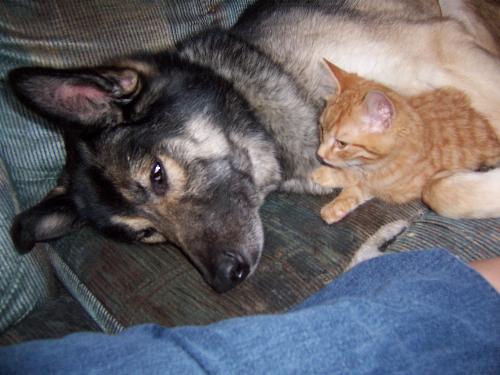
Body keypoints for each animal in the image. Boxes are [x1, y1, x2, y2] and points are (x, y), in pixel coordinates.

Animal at [312, 59, 500, 223]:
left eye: (341, 144)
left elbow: (362, 184)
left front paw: (337, 201)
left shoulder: (402, 186)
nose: (319, 154)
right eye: (321, 129)